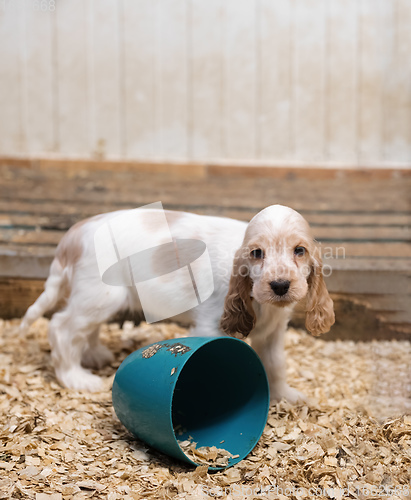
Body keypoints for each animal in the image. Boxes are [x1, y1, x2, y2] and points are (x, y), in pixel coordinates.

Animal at [21, 204, 334, 402]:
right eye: (257, 253)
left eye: (300, 251)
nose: (280, 286)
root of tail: (73, 236)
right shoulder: (212, 326)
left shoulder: (273, 331)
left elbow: (276, 364)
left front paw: (286, 396)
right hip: (102, 296)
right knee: (61, 327)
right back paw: (75, 377)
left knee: (84, 328)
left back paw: (94, 355)